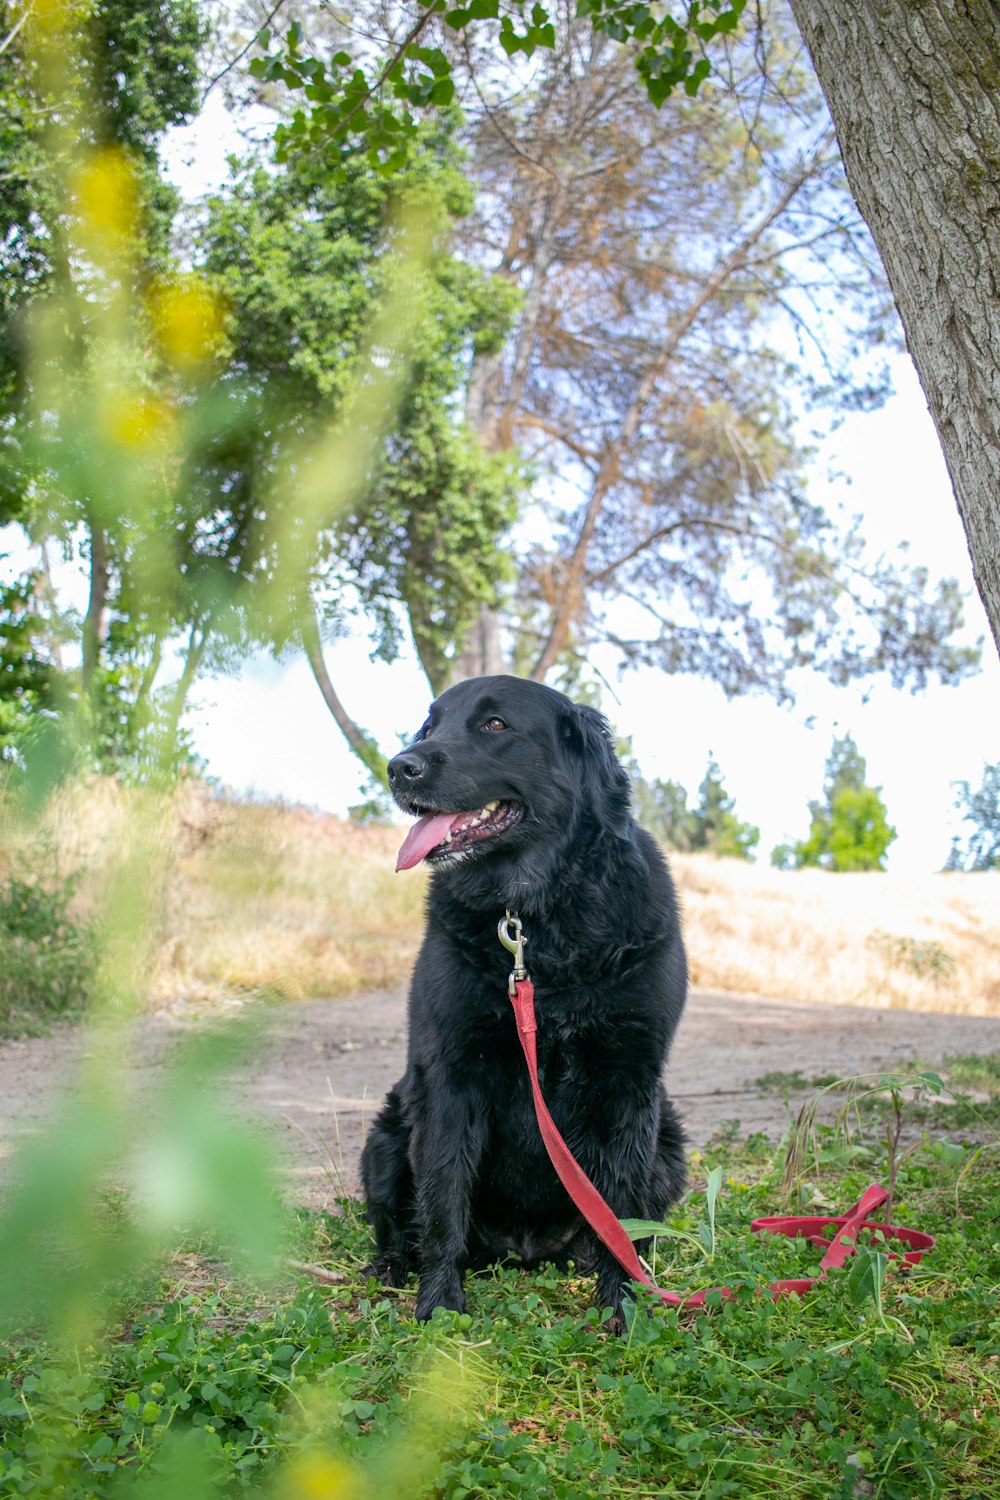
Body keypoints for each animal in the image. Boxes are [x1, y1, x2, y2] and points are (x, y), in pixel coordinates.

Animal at [359, 675, 689, 1320]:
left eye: (495, 725)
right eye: (430, 725)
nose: (399, 767)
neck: (536, 917)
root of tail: (527, 1250)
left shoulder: (630, 1079)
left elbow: (623, 1213)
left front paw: (622, 1307)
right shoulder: (453, 1076)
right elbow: (443, 1199)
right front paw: (439, 1305)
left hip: (670, 1141)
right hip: (385, 1136)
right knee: (398, 1226)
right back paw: (392, 1266)